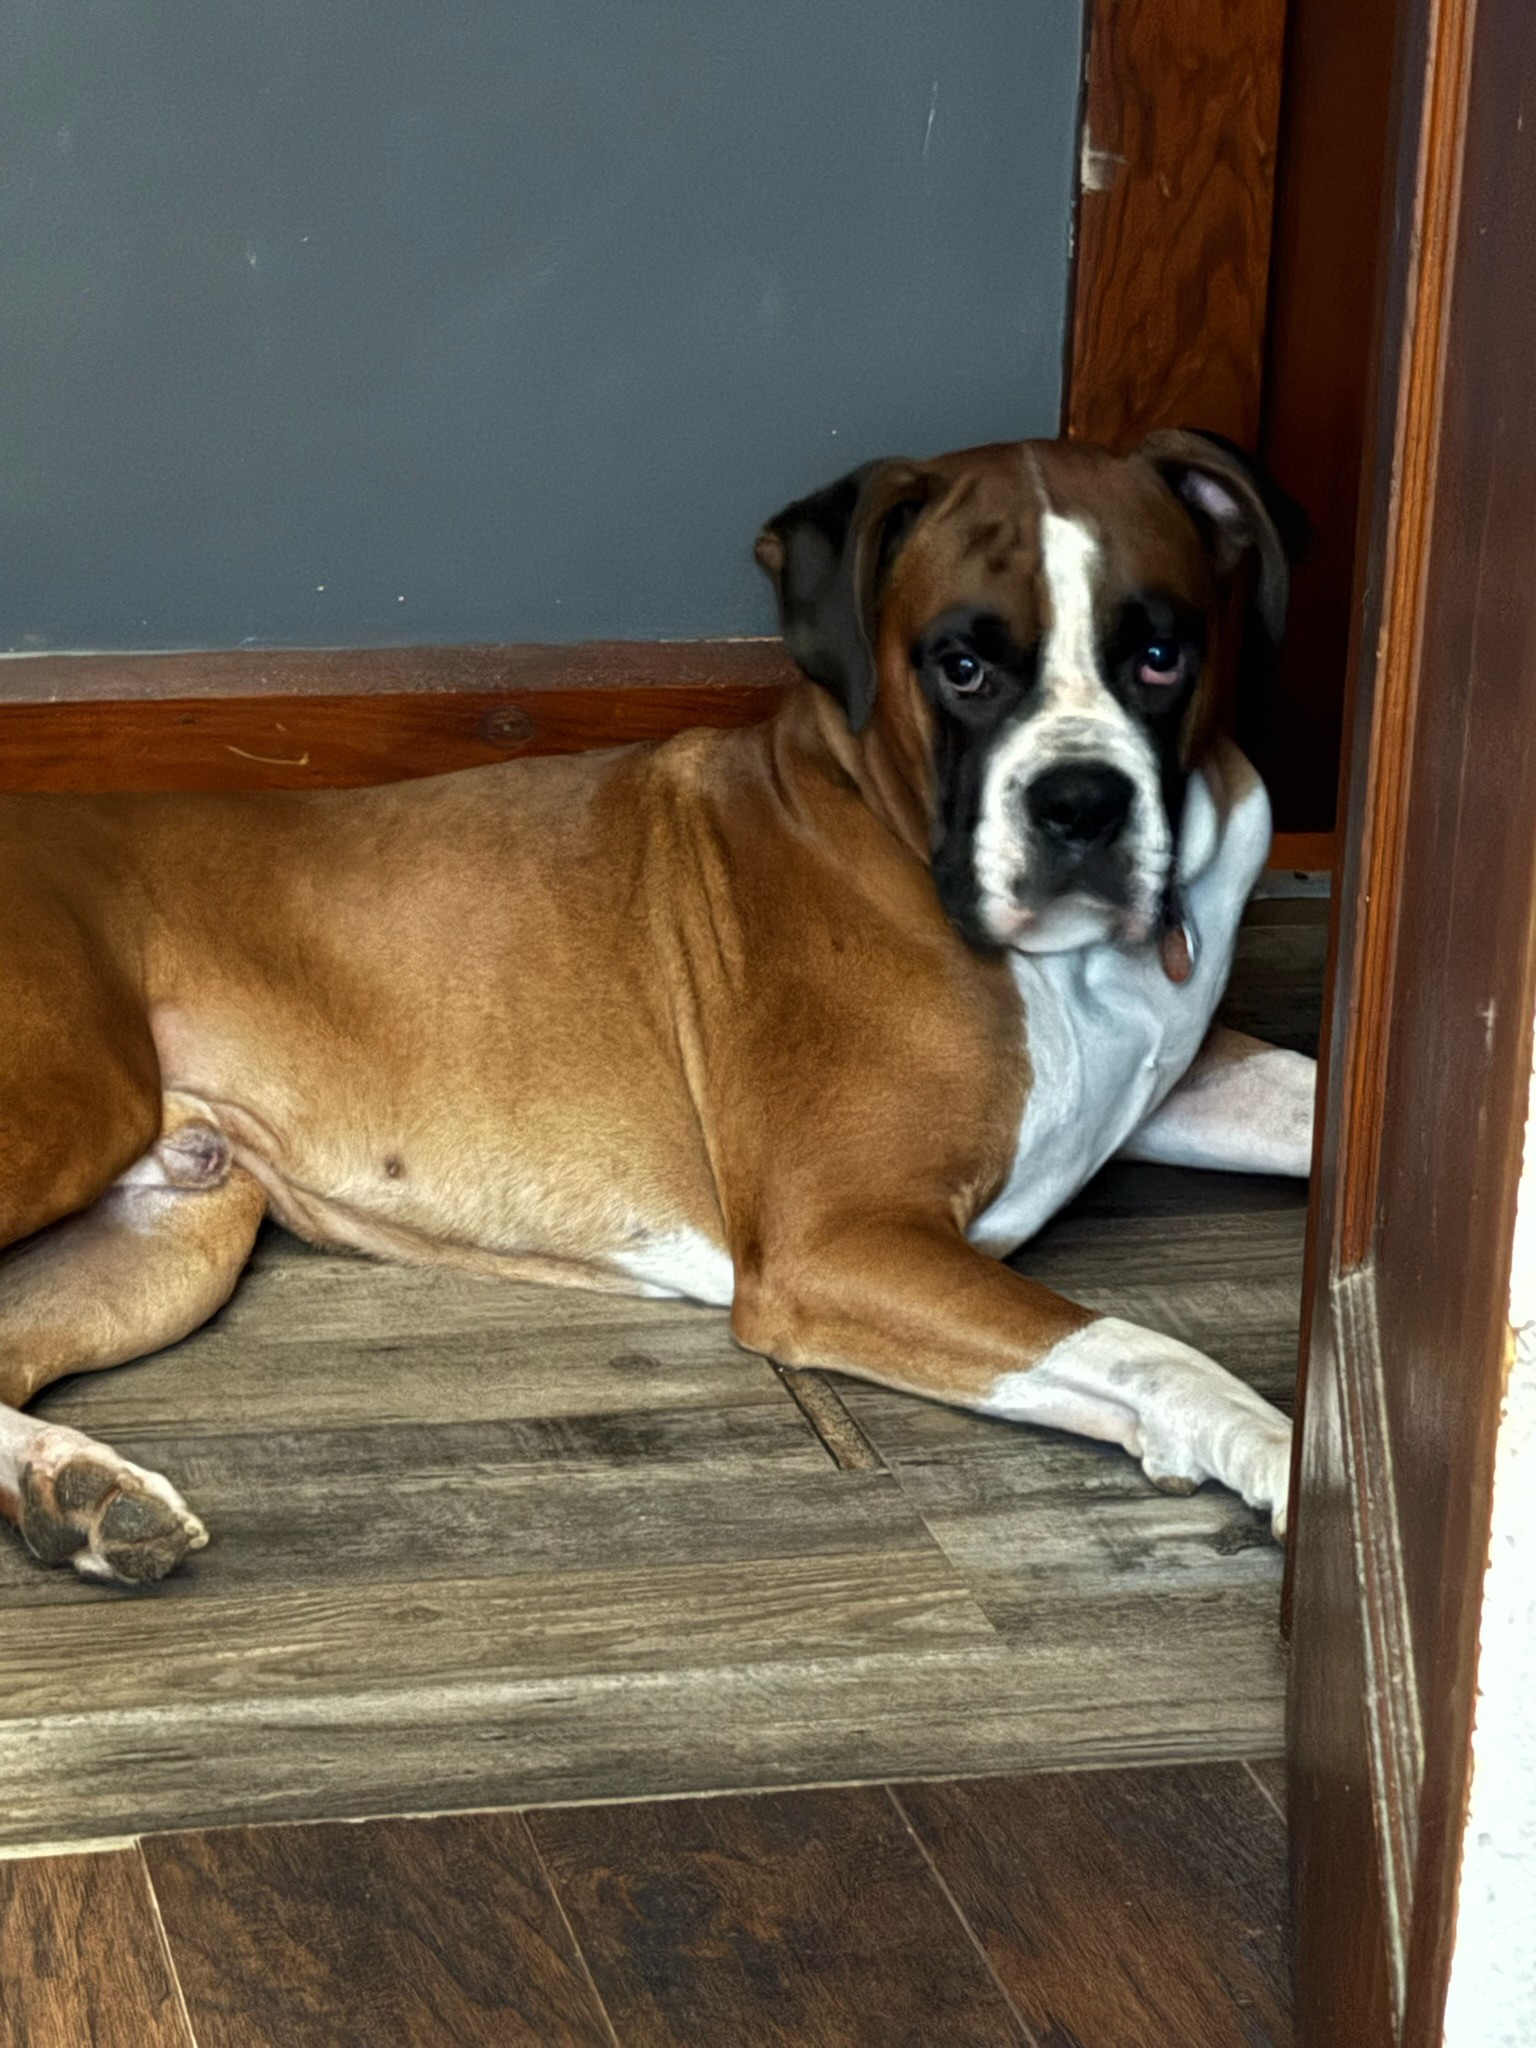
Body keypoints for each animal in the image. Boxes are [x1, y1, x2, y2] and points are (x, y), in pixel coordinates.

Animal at [0, 431, 1316, 1585]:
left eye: (1162, 654)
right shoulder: (841, 1244)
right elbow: (1145, 1343)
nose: (1083, 802)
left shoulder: (1191, 1077)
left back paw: (68, 1487)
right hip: (72, 1115)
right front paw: (1298, 1455)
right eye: (963, 665)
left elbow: (1312, 1105)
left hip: (173, 1232)